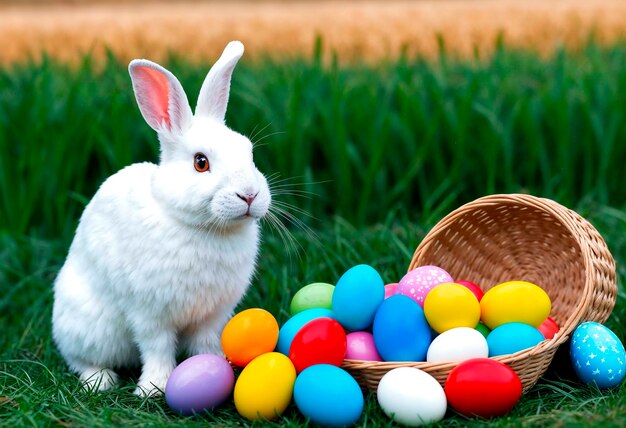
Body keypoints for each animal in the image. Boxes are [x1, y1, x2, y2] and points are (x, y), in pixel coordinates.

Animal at [52, 41, 270, 396]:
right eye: (200, 162)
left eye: (249, 153)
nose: (249, 195)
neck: (201, 227)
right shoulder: (150, 313)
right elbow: (157, 347)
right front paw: (154, 388)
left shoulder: (212, 315)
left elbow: (206, 343)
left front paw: (217, 367)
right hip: (90, 327)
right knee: (79, 359)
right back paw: (101, 381)